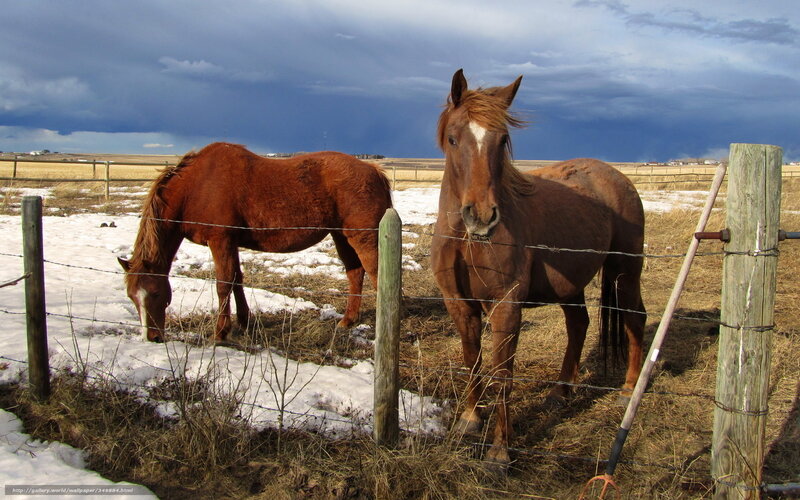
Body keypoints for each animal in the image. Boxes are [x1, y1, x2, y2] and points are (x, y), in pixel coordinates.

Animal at [118, 142, 392, 342]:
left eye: (155, 293)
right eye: (132, 297)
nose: (152, 337)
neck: (196, 186)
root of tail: (374, 172)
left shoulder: (221, 241)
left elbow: (223, 284)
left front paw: (221, 333)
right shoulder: (232, 243)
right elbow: (237, 279)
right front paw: (244, 321)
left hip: (363, 238)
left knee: (376, 274)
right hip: (341, 235)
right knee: (355, 273)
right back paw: (348, 320)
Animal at [431, 70, 646, 465]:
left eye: (502, 139)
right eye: (453, 138)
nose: (481, 217)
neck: (465, 239)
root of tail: (618, 177)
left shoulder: (506, 305)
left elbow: (503, 372)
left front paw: (500, 452)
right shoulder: (459, 304)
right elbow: (472, 360)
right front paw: (470, 418)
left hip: (625, 272)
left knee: (634, 318)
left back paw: (627, 390)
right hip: (572, 284)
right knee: (579, 324)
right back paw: (561, 393)